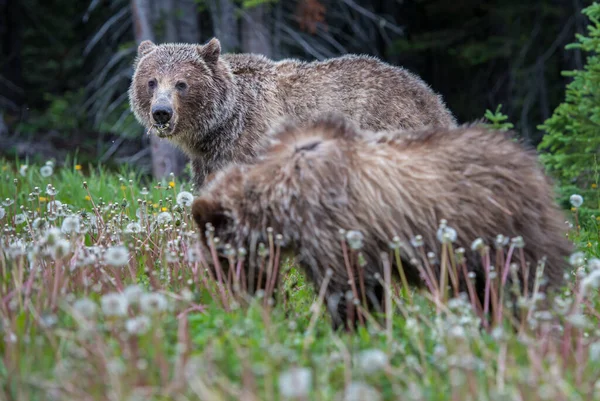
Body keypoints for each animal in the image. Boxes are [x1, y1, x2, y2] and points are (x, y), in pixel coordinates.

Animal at [126, 36, 454, 190]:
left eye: (182, 83)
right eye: (151, 81)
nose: (162, 112)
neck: (223, 121)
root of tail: (432, 98)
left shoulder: (251, 139)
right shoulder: (209, 157)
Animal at [191, 112, 572, 328]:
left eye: (218, 258)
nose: (241, 292)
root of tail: (533, 165)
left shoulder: (332, 229)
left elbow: (348, 289)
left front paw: (348, 327)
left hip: (504, 231)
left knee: (523, 283)